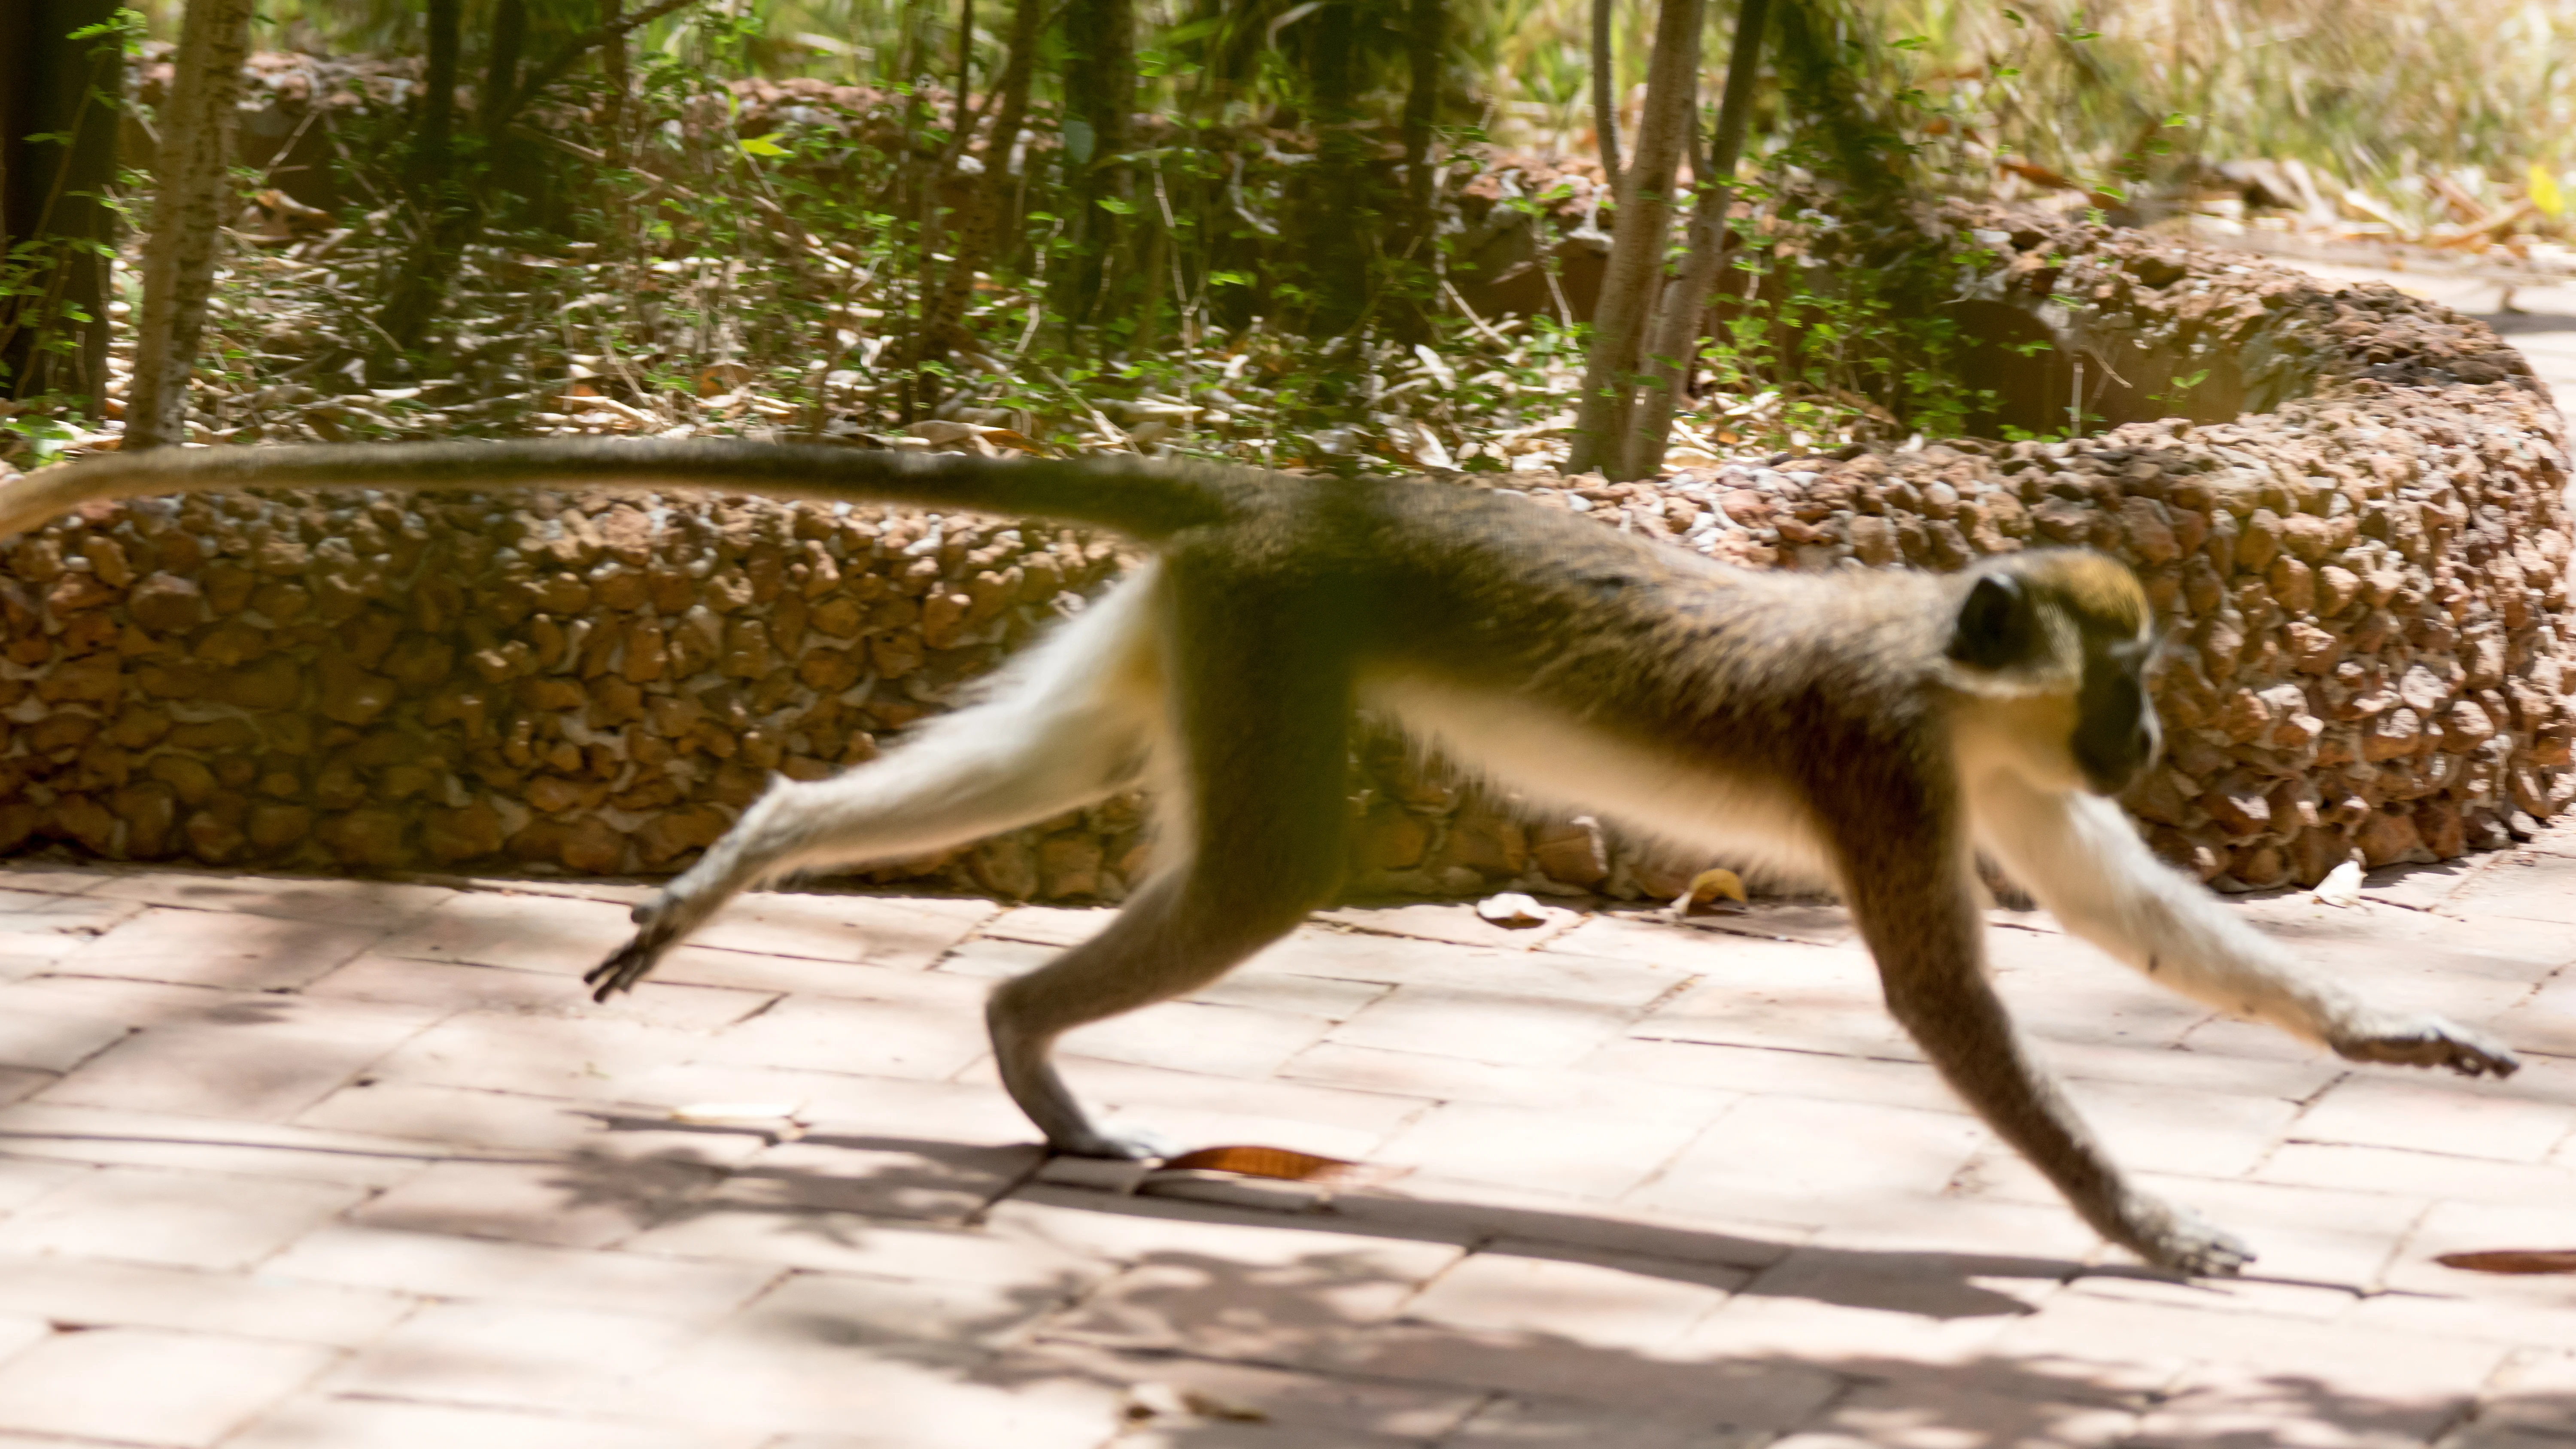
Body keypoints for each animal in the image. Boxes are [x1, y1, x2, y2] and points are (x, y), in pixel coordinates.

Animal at [2, 439, 2521, 1277]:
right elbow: (1949, 995)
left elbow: (2122, 912)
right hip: (1271, 648)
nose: (2158, 728)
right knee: (1269, 869)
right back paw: (1031, 1042)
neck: (1939, 661)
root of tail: (1270, 490)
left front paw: (2384, 1026)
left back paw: (783, 869)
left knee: (1031, 774)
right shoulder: (1886, 758)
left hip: (1189, 627)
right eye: (2136, 674)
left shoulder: (1982, 770)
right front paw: (2144, 1220)